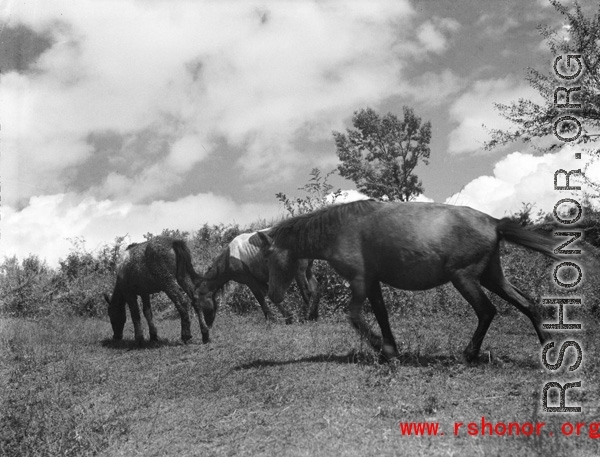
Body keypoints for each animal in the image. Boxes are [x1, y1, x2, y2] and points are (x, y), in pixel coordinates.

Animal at [258, 201, 564, 362]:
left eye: (269, 257)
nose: (272, 295)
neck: (341, 229)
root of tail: (494, 222)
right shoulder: (372, 282)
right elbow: (381, 314)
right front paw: (390, 349)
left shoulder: (360, 281)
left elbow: (354, 316)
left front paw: (379, 346)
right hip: (491, 277)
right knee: (528, 304)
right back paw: (547, 348)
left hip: (465, 278)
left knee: (487, 311)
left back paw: (469, 354)